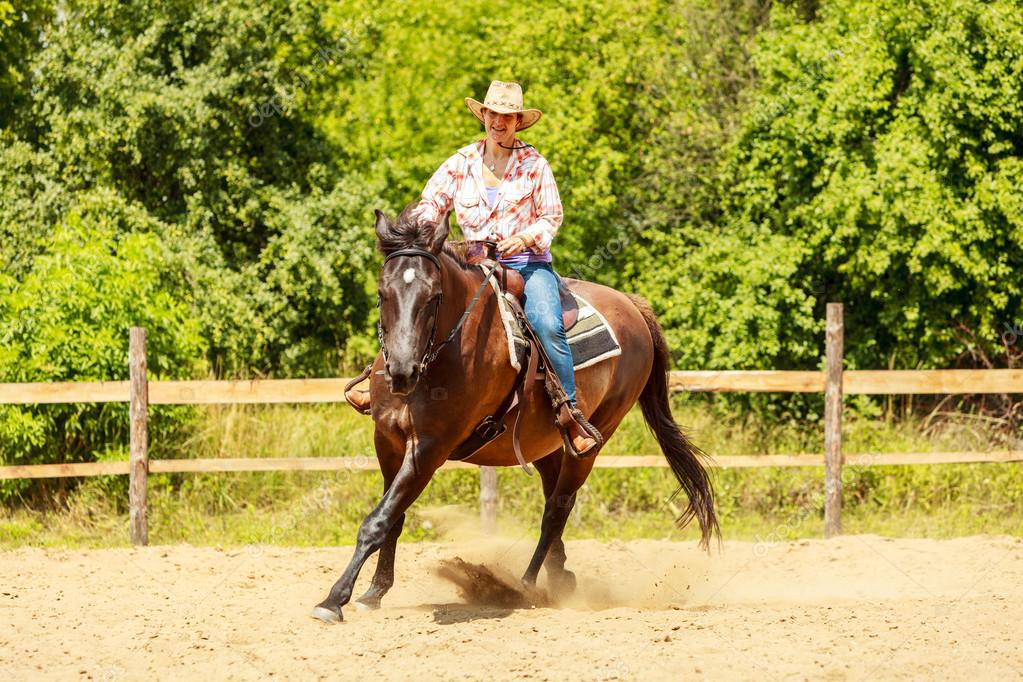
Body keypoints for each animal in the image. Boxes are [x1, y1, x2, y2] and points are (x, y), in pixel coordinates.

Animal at [311, 205, 719, 623]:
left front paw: (334, 599)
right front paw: (374, 592)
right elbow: (393, 519)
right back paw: (560, 577)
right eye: (383, 293)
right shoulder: (388, 441)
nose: (401, 371)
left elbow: (378, 520)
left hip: (591, 441)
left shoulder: (429, 449)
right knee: (554, 497)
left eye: (434, 296)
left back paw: (524, 585)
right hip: (546, 443)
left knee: (556, 509)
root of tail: (632, 306)